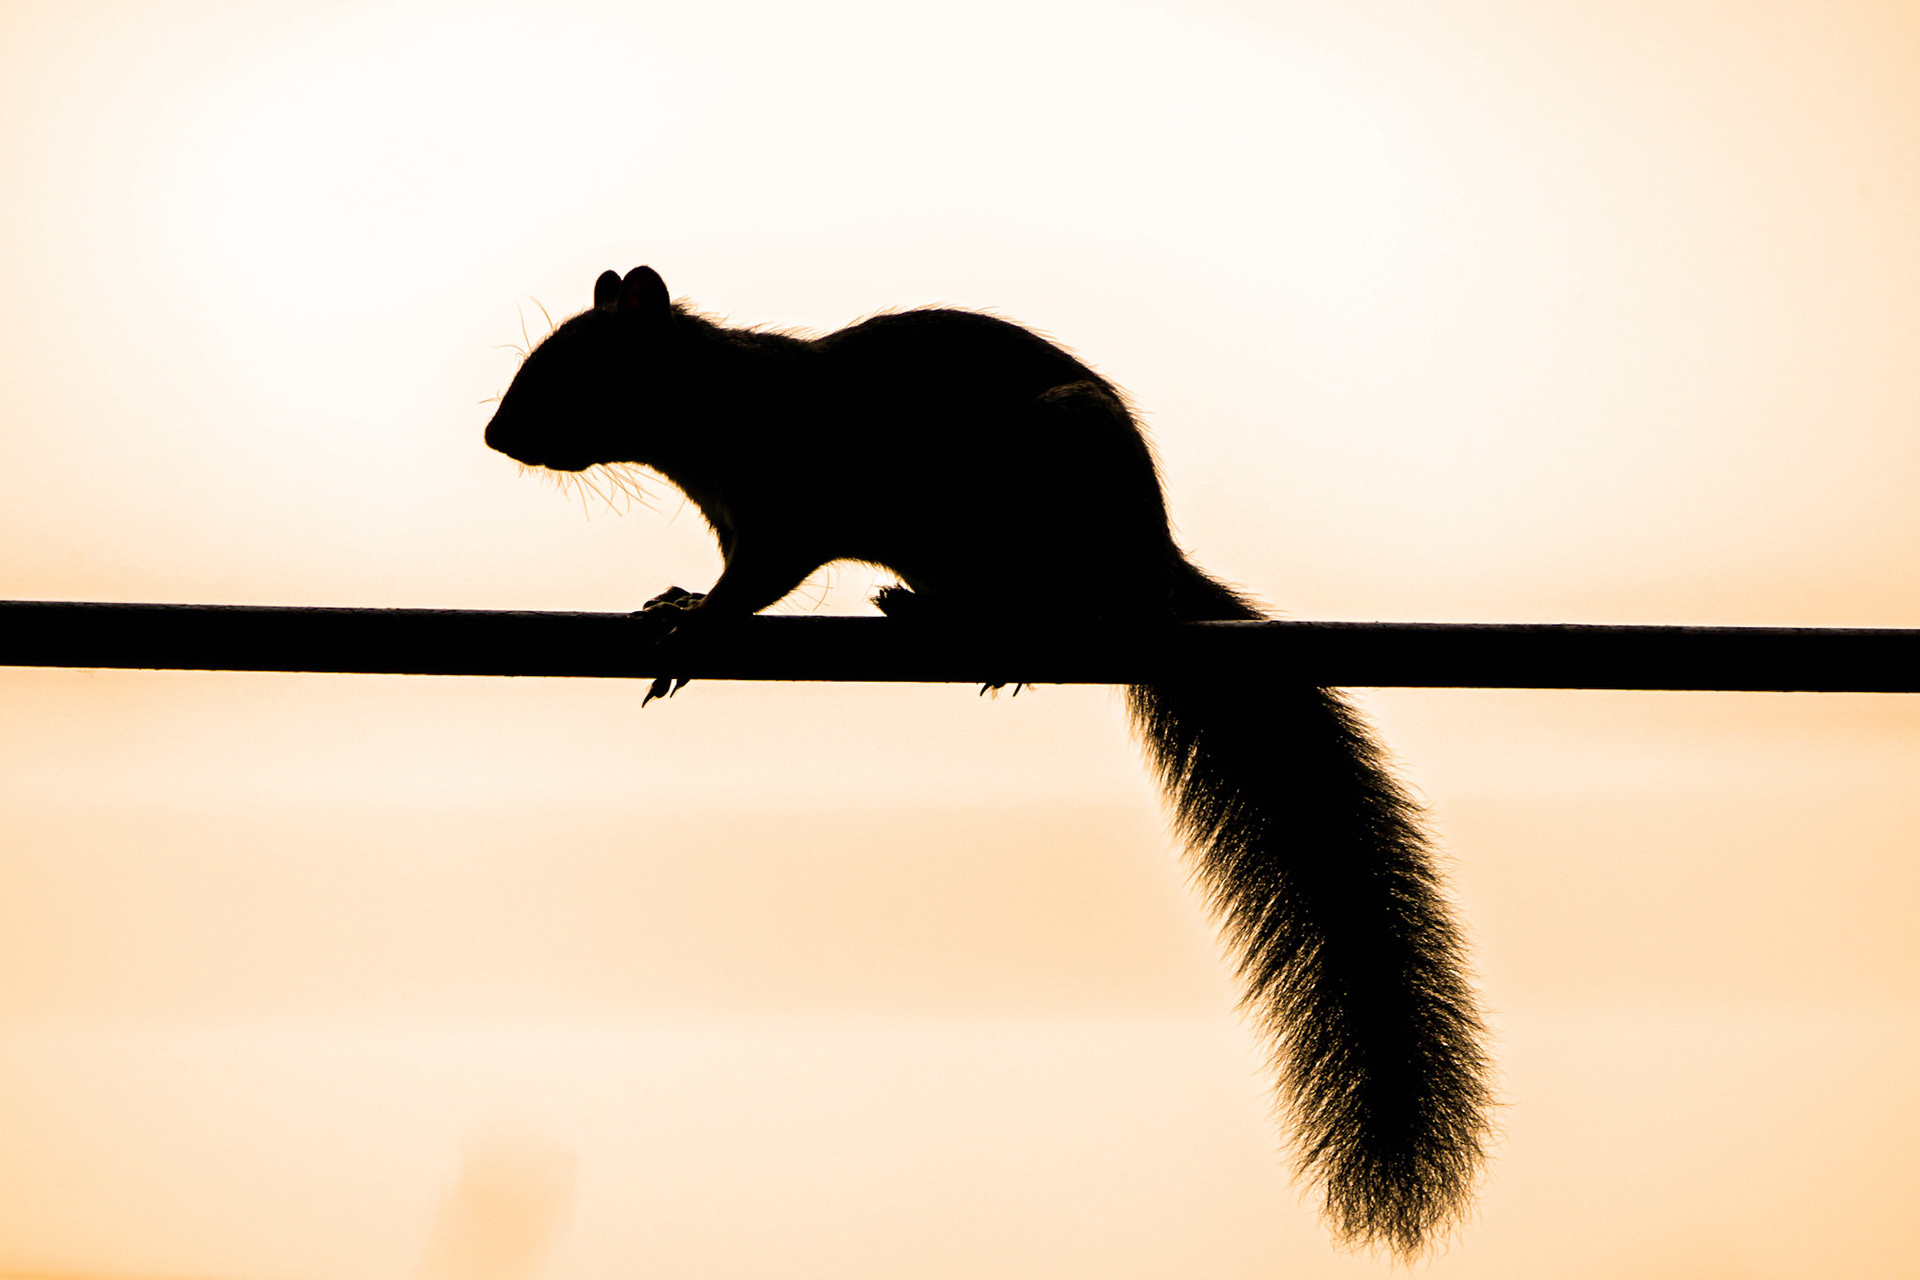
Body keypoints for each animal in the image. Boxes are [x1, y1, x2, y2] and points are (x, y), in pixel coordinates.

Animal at [484, 265, 1494, 1256]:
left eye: (573, 366)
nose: (494, 436)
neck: (722, 405)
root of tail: (1162, 571)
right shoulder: (742, 518)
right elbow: (730, 576)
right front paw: (682, 601)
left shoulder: (788, 506)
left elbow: (756, 585)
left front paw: (697, 626)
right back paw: (928, 608)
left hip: (1065, 485)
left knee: (1082, 598)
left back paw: (1016, 624)